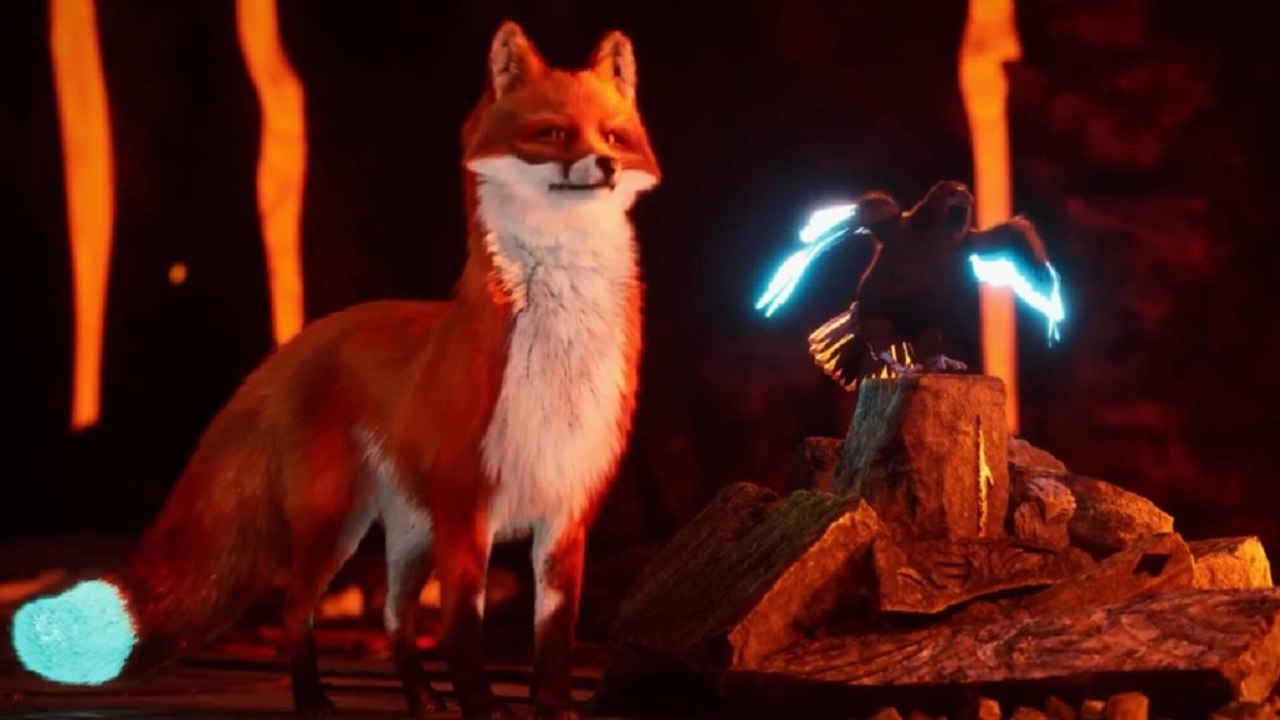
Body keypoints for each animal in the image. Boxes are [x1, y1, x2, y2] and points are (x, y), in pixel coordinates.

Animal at [11, 21, 659, 720]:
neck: (557, 349)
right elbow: (464, 632)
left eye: (614, 136)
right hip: (339, 523)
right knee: (298, 610)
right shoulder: (468, 511)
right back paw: (313, 698)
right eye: (555, 133)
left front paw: (554, 707)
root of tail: (300, 339)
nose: (606, 166)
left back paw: (420, 699)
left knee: (395, 618)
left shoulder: (566, 514)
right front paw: (483, 708)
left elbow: (554, 639)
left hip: (409, 535)